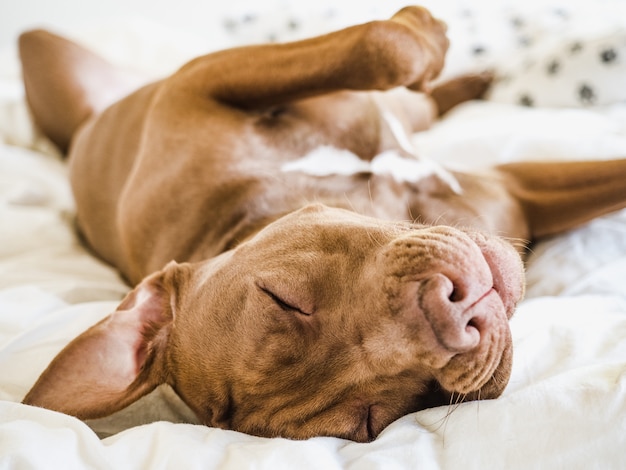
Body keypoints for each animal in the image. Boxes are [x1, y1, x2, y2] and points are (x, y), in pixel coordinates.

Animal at [17, 5, 620, 442]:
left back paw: (464, 80)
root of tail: (84, 125)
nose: (453, 309)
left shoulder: (198, 81)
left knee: (415, 96)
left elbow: (384, 44)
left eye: (281, 297)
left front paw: (427, 34)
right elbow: (386, 46)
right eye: (374, 419)